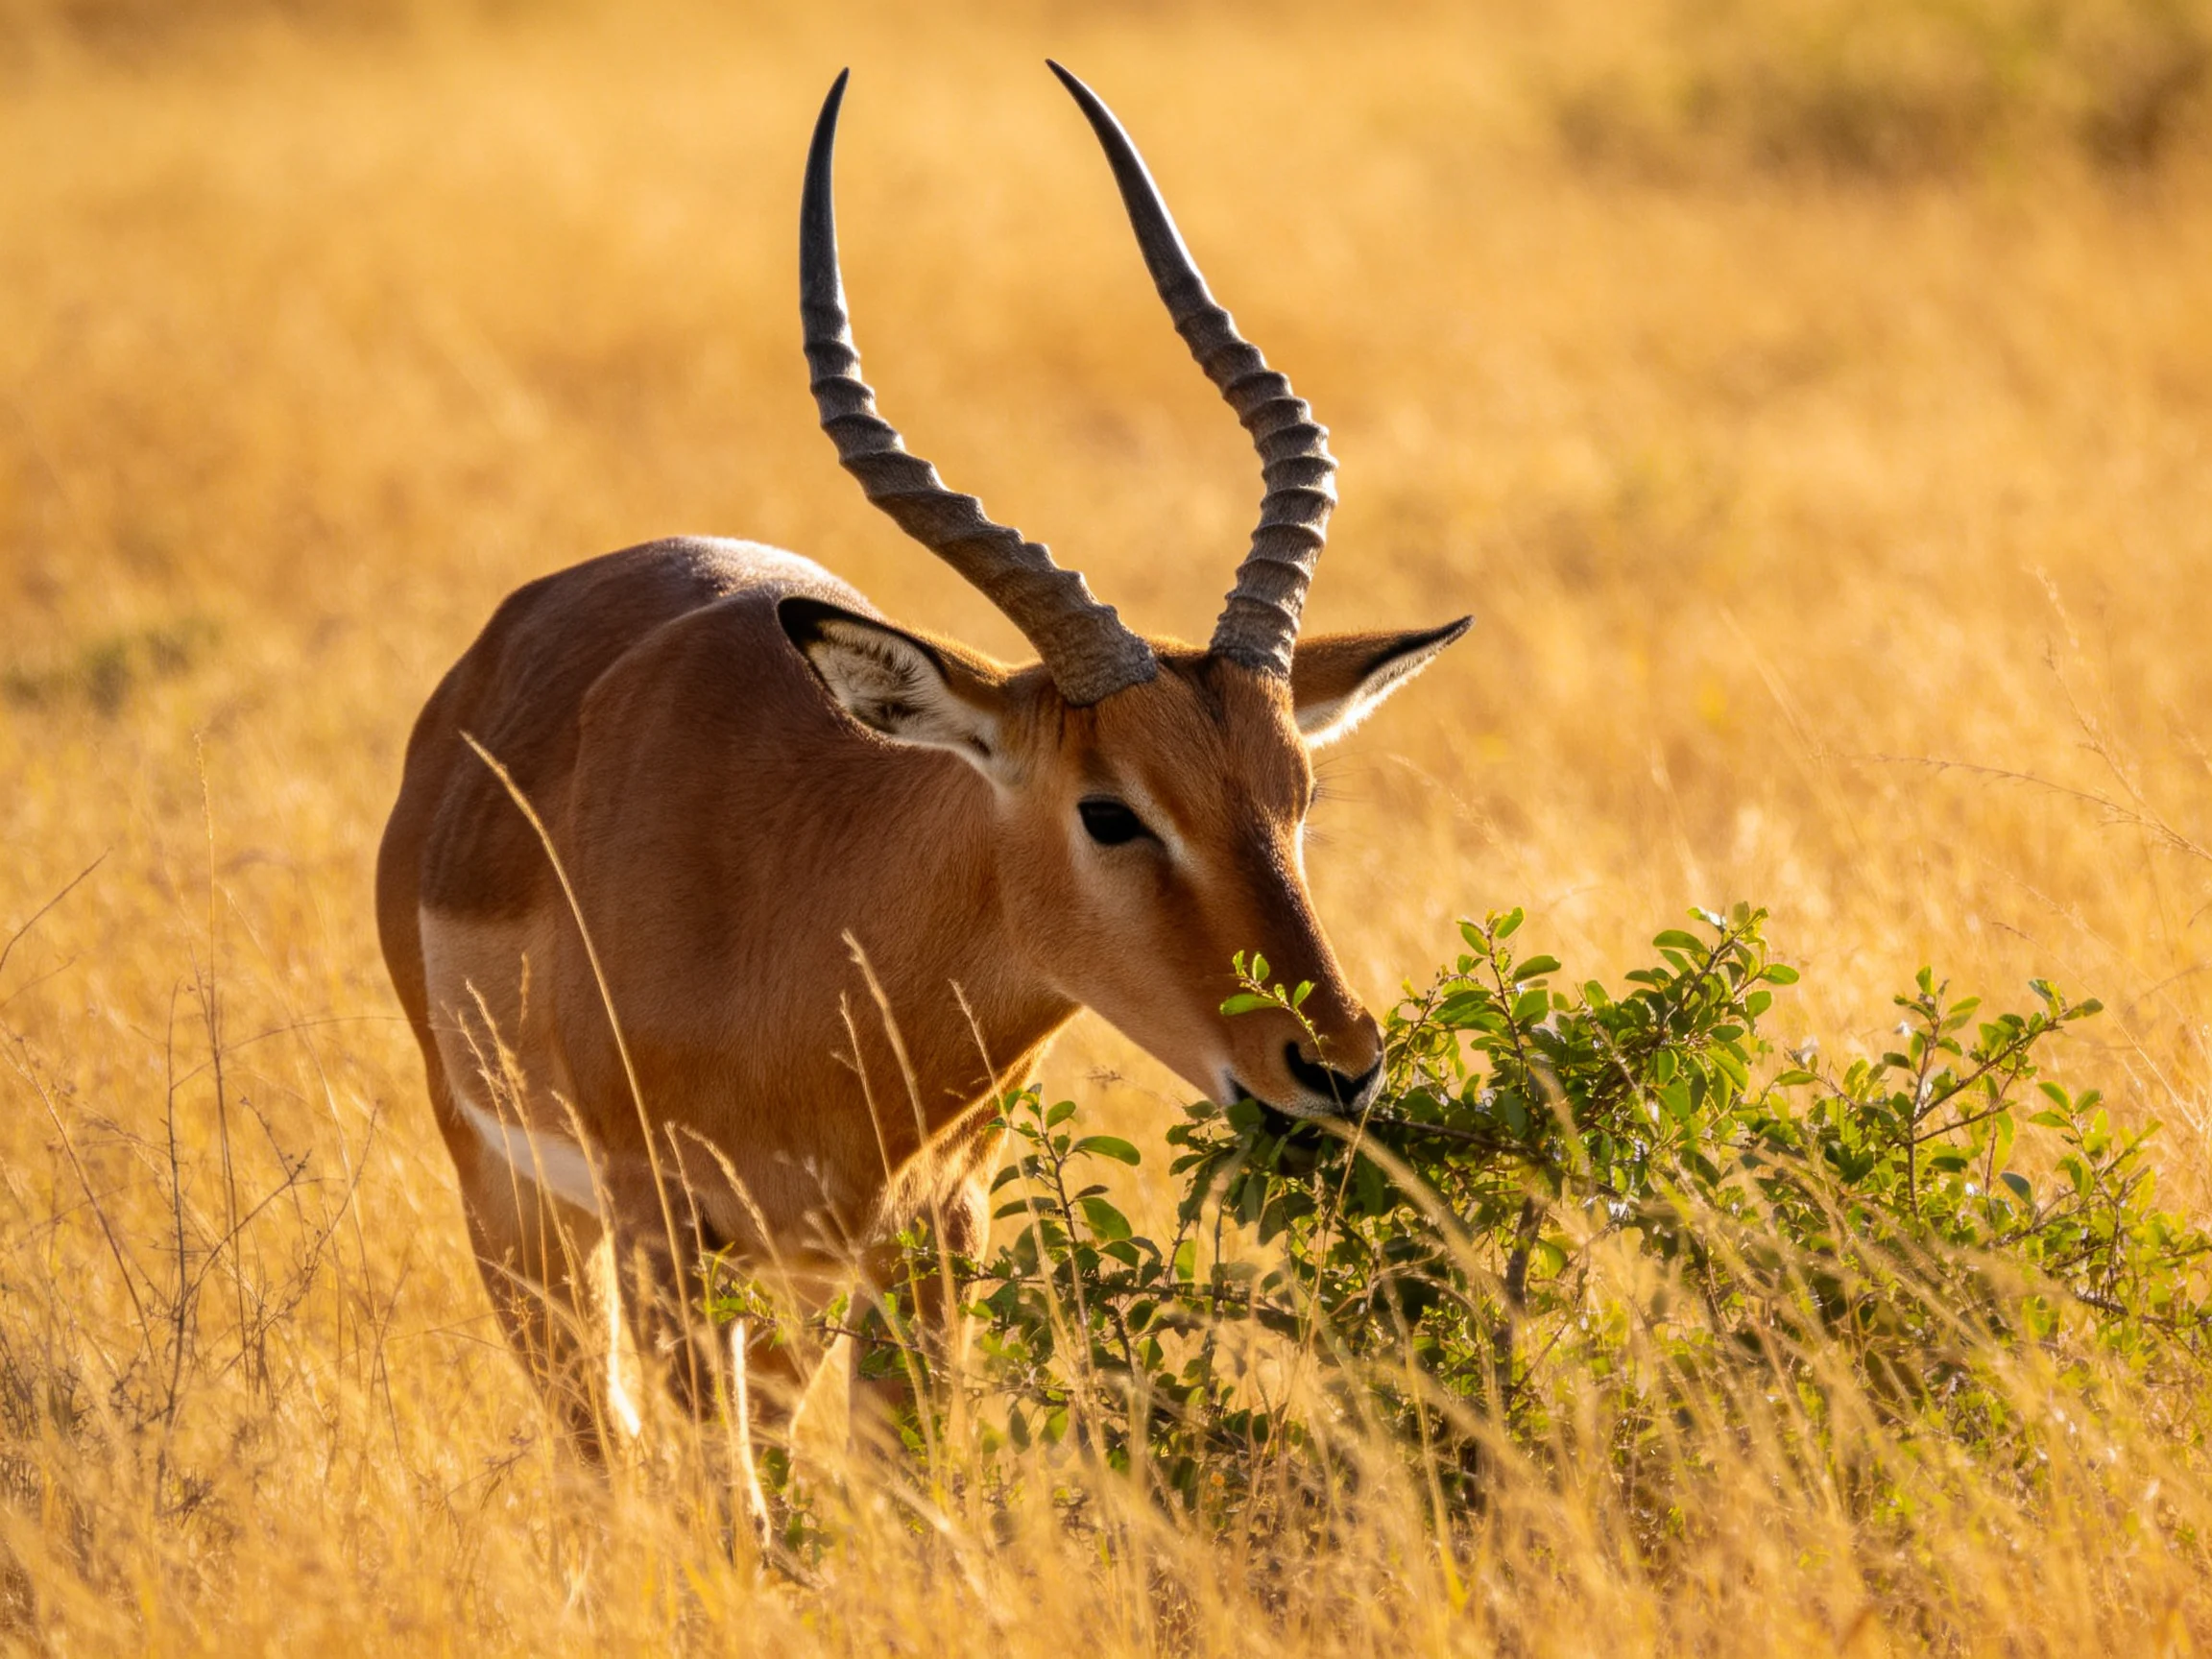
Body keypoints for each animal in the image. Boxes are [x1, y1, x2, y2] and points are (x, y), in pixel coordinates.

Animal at [375, 63, 1469, 1445]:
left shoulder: (936, 1239)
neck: (801, 943)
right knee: (600, 1447)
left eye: (1299, 796)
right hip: (521, 1215)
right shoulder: (671, 1238)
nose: (1335, 1069)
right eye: (1110, 810)